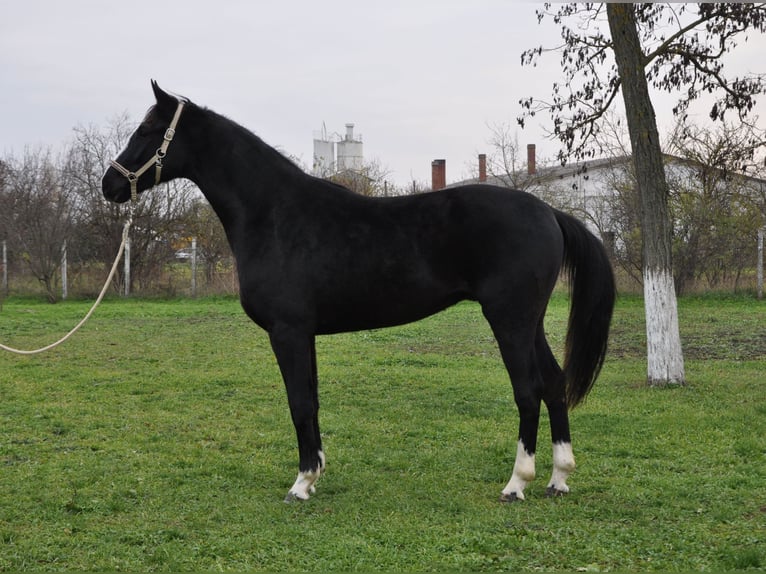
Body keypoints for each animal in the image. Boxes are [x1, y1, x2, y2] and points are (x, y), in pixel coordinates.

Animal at [103, 81, 616, 504]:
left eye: (148, 129)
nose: (110, 184)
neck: (276, 215)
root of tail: (548, 212)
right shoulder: (303, 333)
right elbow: (310, 399)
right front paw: (314, 474)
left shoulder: (287, 331)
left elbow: (299, 402)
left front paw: (300, 484)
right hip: (529, 321)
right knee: (554, 383)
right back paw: (558, 478)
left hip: (509, 318)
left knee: (528, 390)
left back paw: (516, 484)